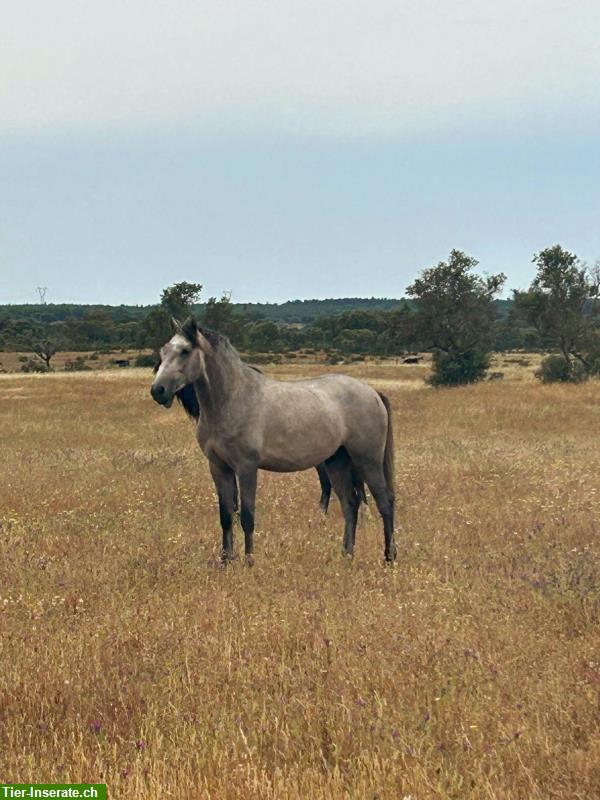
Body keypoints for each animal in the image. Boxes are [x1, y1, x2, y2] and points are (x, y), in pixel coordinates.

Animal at [150, 318, 396, 564]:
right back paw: (347, 555)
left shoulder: (246, 467)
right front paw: (226, 561)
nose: (158, 390)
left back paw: (389, 557)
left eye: (185, 351)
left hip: (367, 460)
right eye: (163, 351)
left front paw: (249, 561)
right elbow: (226, 516)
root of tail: (373, 392)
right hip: (337, 461)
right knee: (350, 505)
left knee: (385, 503)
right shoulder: (218, 467)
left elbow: (247, 516)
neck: (232, 400)